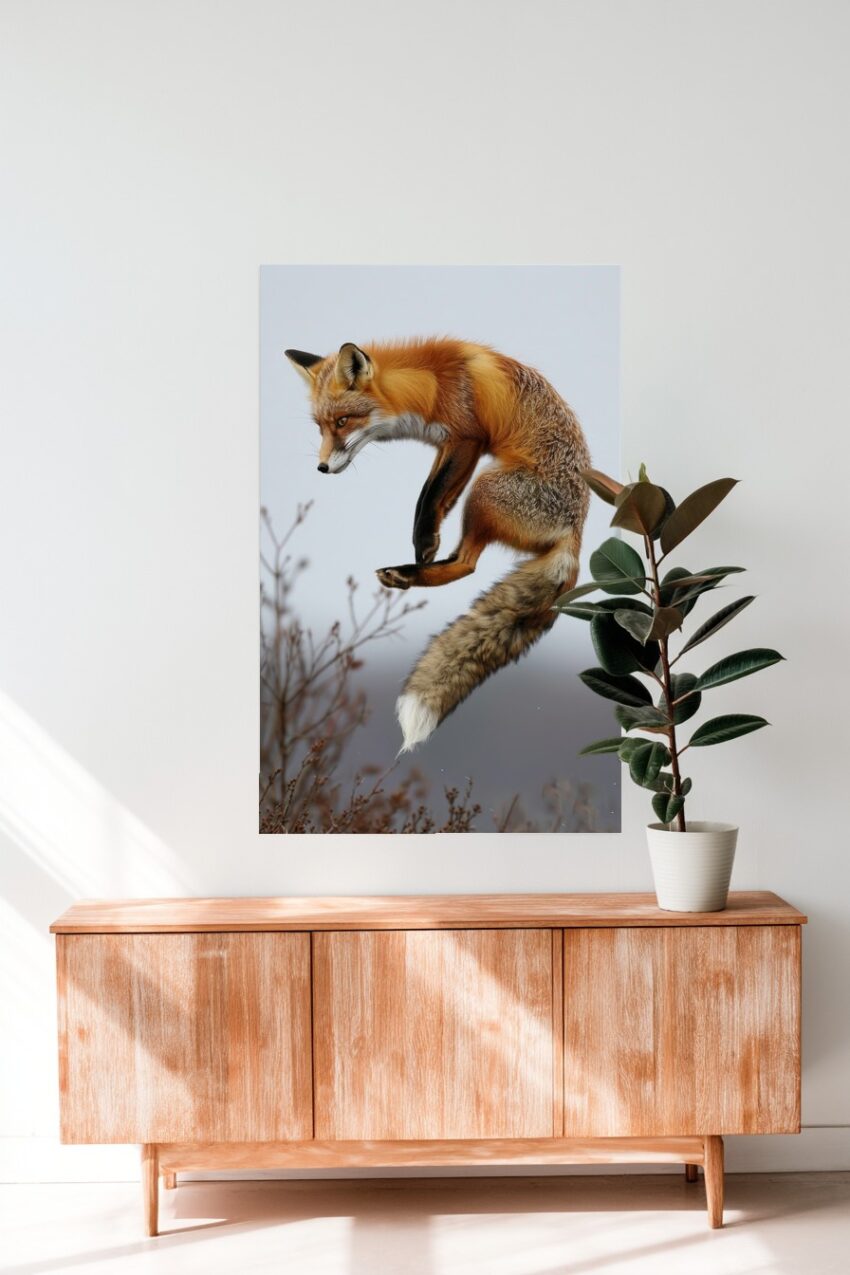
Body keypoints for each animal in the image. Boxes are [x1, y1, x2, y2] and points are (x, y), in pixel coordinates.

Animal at [285, 338, 591, 752]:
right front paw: (427, 538)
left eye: (343, 422)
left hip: (484, 489)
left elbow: (430, 497)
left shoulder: (466, 438)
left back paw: (409, 572)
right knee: (464, 561)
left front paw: (425, 541)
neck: (430, 383)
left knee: (467, 564)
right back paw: (408, 573)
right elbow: (430, 498)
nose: (322, 468)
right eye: (320, 426)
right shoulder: (446, 445)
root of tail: (575, 534)